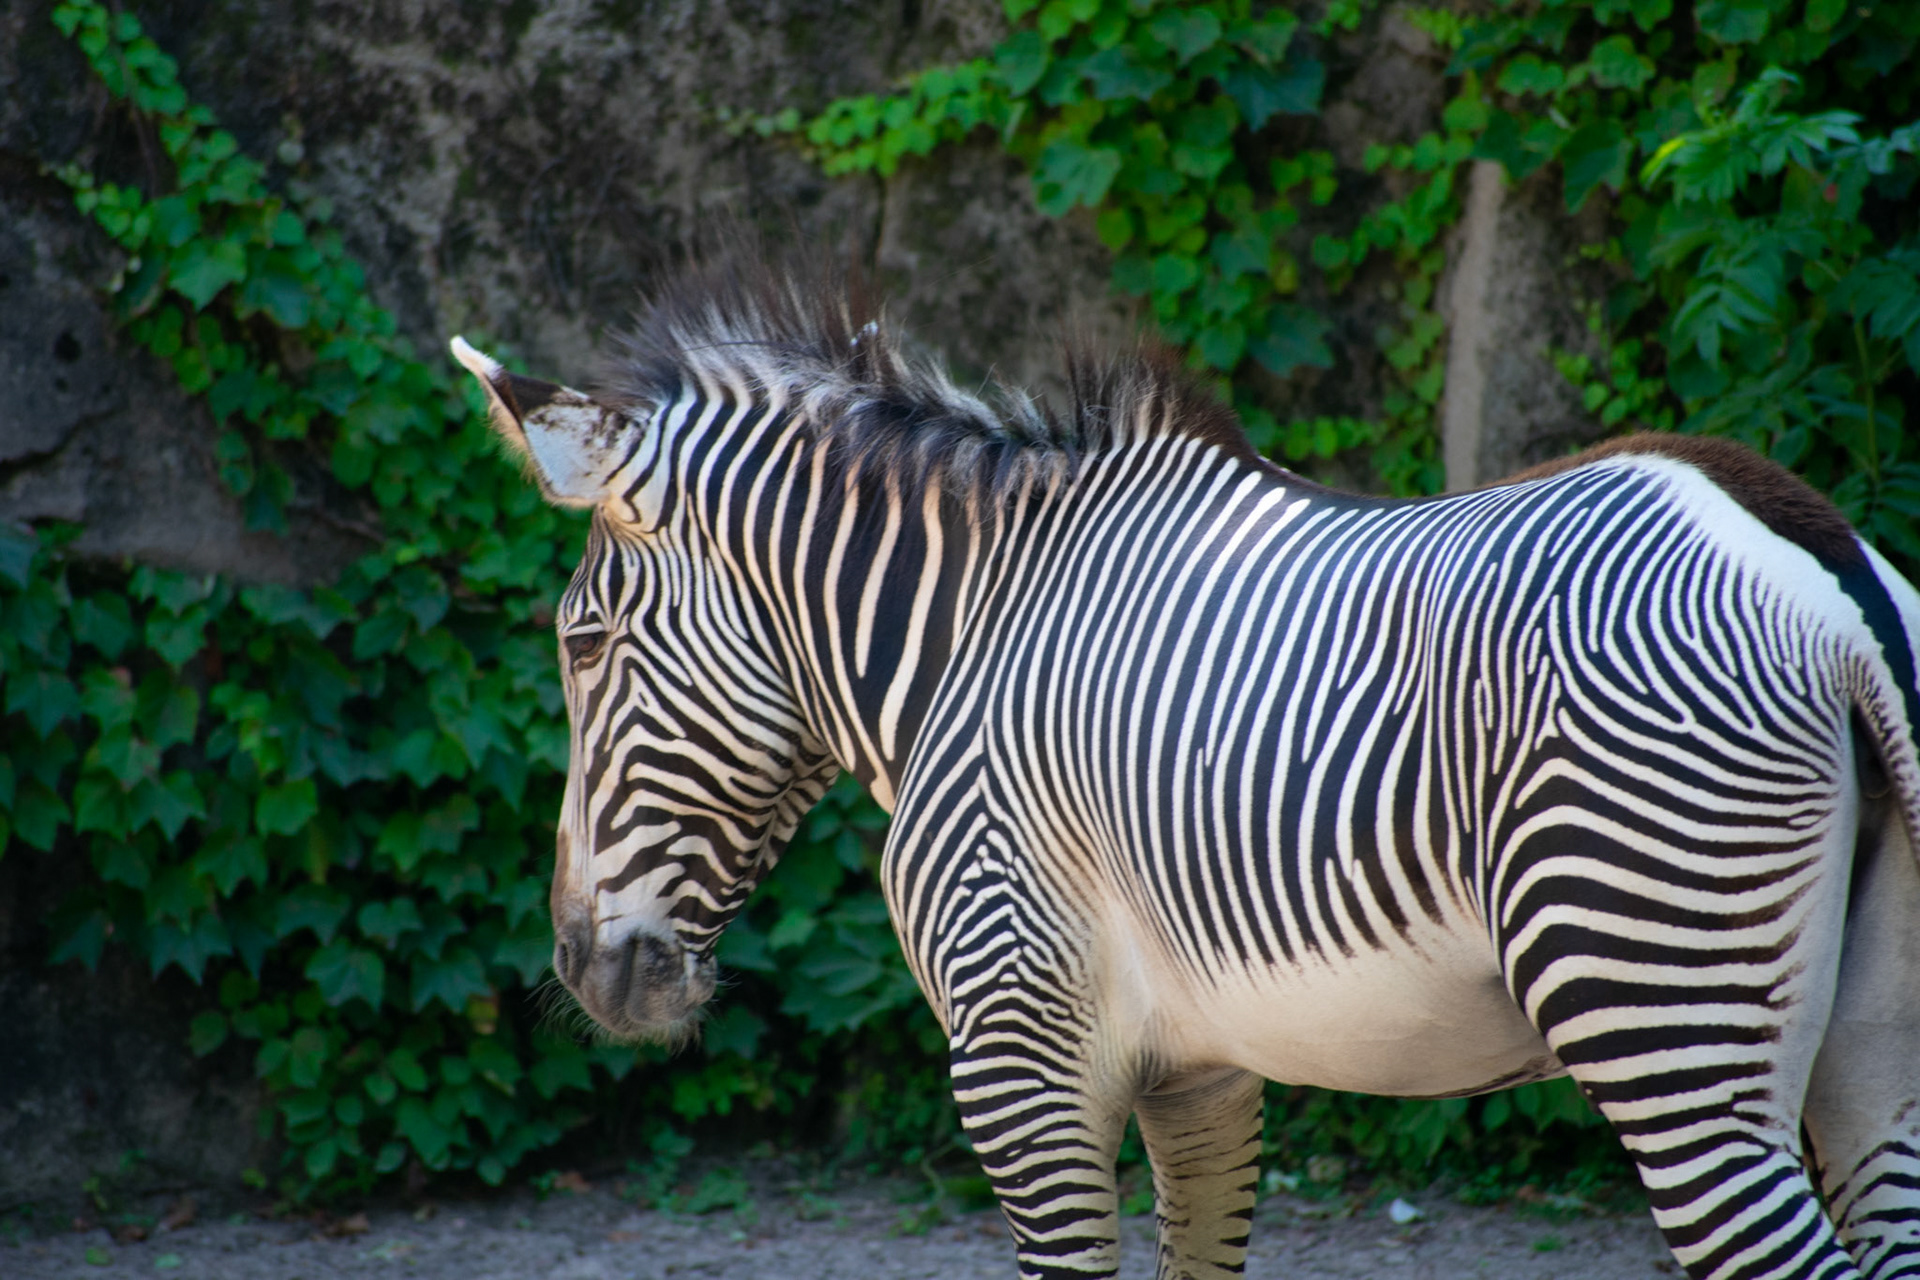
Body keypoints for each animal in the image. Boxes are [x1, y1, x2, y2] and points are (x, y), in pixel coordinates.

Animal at [450, 254, 1920, 1280]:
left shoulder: (1020, 1046)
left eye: (582, 640)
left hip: (1666, 1015)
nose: (582, 966)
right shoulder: (1199, 1073)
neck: (969, 635)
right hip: (1865, 1058)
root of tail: (1826, 572)